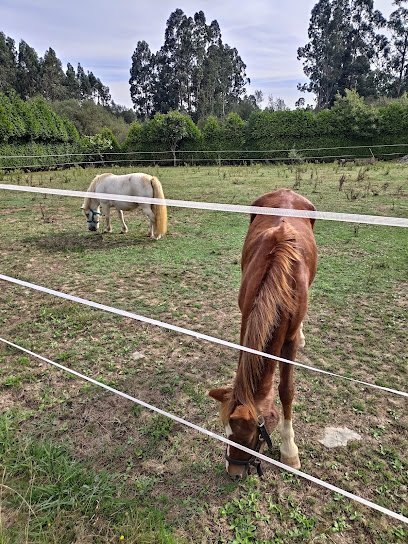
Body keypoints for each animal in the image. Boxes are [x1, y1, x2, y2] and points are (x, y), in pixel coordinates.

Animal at [209, 189, 318, 478]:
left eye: (248, 437)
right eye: (225, 431)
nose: (233, 472)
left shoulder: (288, 341)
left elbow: (286, 390)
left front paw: (290, 450)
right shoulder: (246, 322)